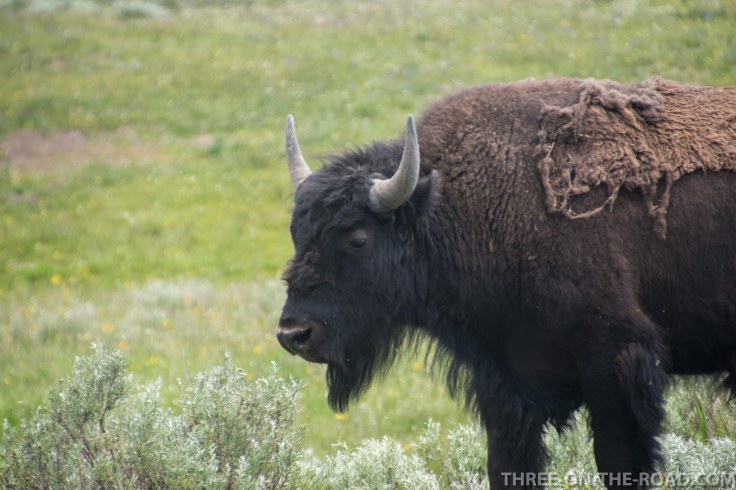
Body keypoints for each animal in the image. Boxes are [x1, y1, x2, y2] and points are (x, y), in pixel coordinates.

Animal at [276, 78, 736, 489]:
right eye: (297, 234)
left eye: (358, 238)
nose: (294, 333)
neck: (457, 207)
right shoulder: (505, 386)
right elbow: (507, 465)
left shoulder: (616, 364)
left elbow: (618, 463)